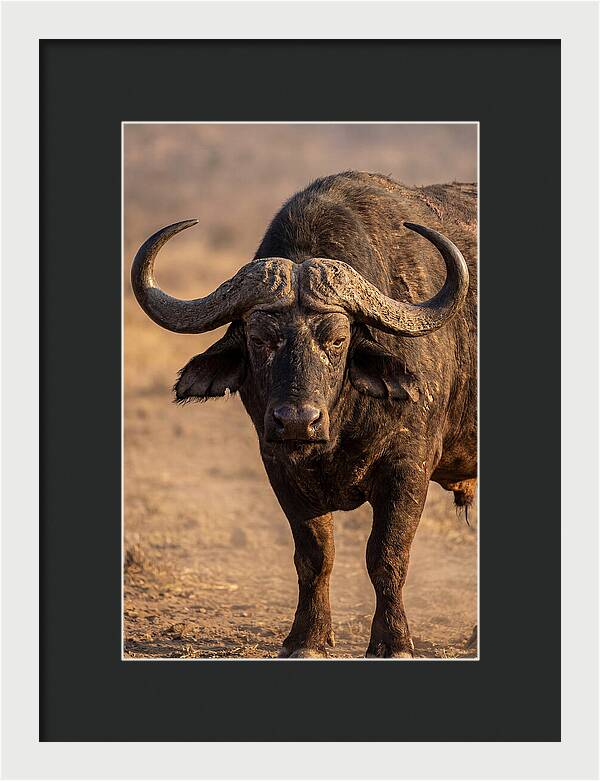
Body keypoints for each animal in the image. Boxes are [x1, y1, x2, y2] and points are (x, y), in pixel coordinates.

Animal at [131, 171, 477, 658]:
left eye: (337, 339)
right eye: (259, 339)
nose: (296, 421)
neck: (339, 428)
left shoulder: (407, 468)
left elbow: (387, 555)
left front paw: (393, 641)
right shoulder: (279, 467)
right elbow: (315, 556)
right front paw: (308, 638)